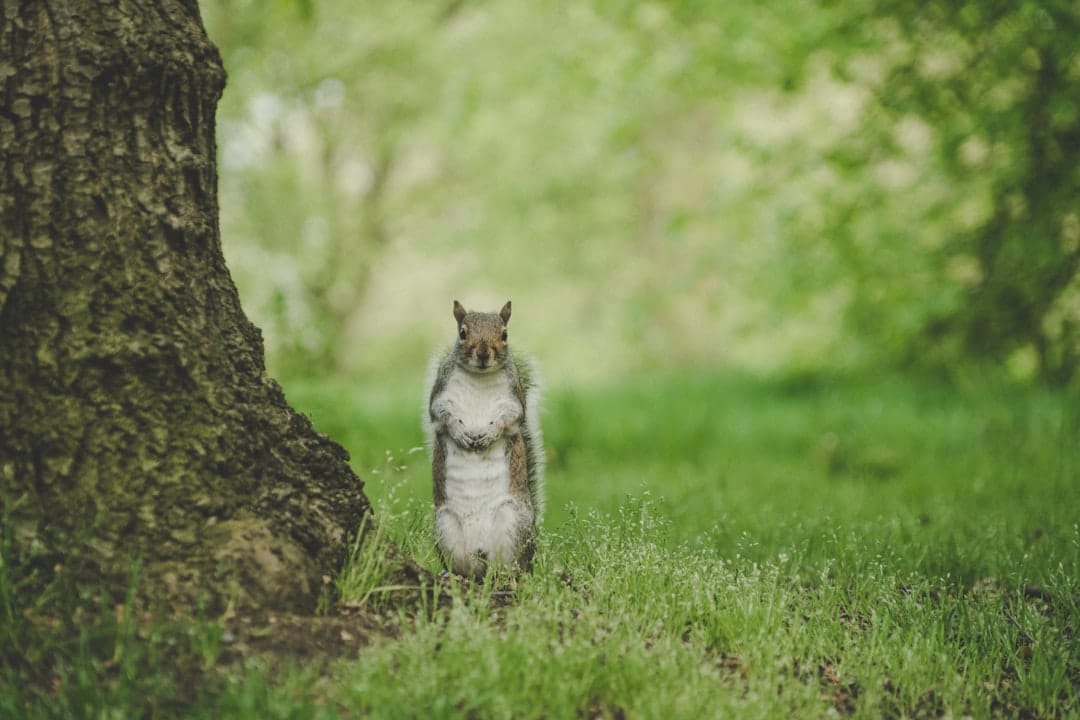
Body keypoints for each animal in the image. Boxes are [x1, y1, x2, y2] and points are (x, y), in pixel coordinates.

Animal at [421, 300, 540, 578]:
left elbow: (509, 419)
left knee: (512, 566)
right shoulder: (440, 395)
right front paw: (461, 434)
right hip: (445, 524)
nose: (484, 353)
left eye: (504, 335)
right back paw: (452, 574)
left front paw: (487, 435)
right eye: (462, 333)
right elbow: (442, 416)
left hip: (514, 523)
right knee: (464, 569)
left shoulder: (514, 401)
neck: (480, 377)